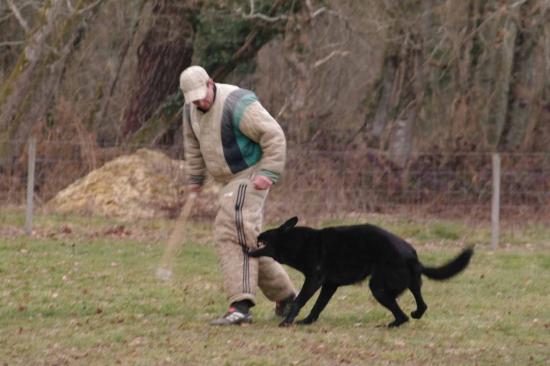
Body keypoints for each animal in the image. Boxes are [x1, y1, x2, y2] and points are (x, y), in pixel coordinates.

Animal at [250, 216, 474, 328]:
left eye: (265, 235)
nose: (256, 235)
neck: (295, 241)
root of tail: (412, 256)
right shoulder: (329, 285)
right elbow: (318, 306)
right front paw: (307, 321)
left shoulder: (314, 279)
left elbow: (299, 301)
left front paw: (287, 322)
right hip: (408, 283)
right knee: (421, 305)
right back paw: (412, 314)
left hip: (378, 288)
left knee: (402, 316)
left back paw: (391, 325)